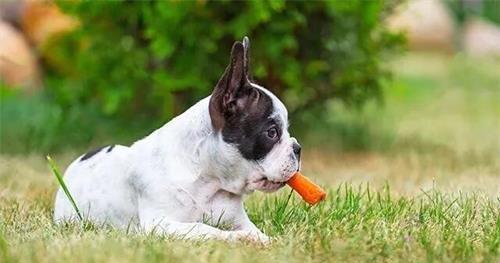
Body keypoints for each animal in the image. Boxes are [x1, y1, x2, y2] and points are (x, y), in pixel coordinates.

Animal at [53, 36, 300, 243]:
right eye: (272, 132)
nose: (298, 148)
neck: (209, 181)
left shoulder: (238, 220)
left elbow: (254, 231)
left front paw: (264, 240)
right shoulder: (160, 224)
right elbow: (204, 228)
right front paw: (239, 239)